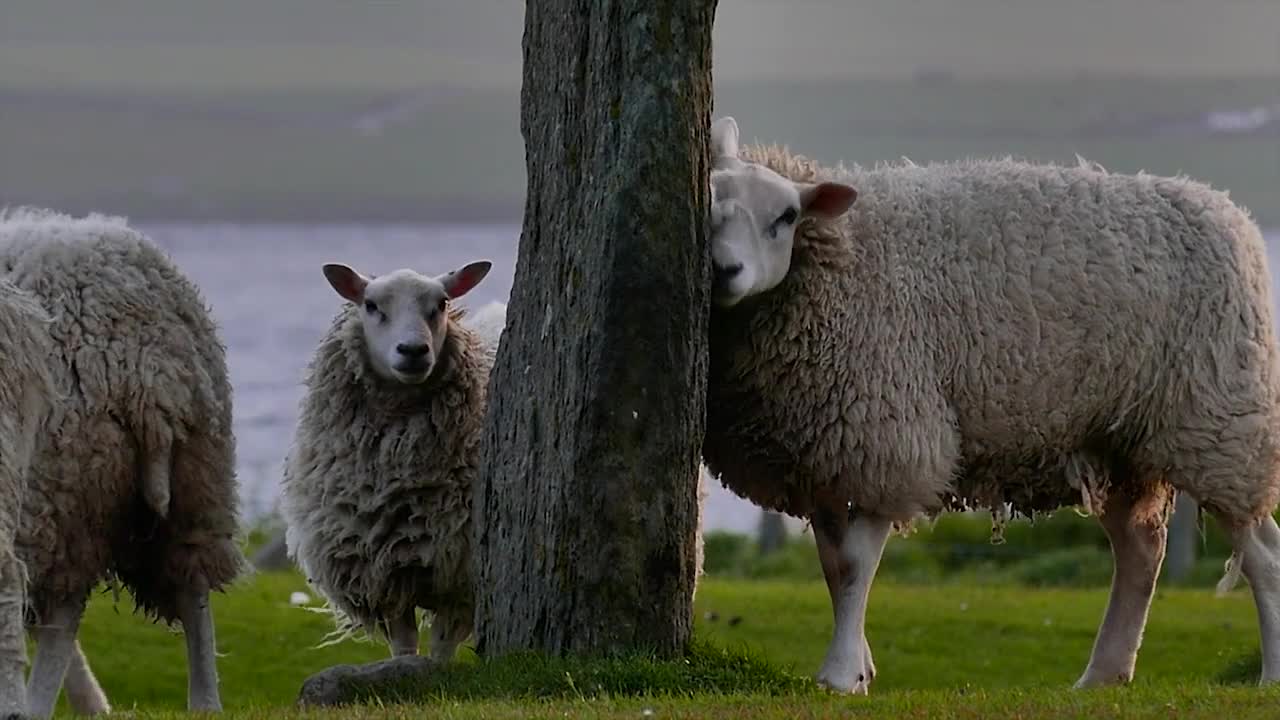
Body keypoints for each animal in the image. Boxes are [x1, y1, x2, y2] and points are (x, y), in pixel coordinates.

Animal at [282, 257, 501, 661]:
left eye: (441, 304)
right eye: (371, 305)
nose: (413, 350)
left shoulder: (458, 576)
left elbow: (441, 650)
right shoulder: (382, 576)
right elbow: (403, 647)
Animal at [701, 116, 1280, 691]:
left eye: (786, 216)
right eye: (708, 203)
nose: (723, 269)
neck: (845, 257)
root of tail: (1232, 213)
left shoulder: (891, 443)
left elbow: (855, 565)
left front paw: (841, 674)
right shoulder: (822, 455)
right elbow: (831, 563)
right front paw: (860, 666)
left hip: (1219, 423)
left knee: (1263, 555)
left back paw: (1268, 674)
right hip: (1116, 439)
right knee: (1141, 550)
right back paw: (1102, 676)